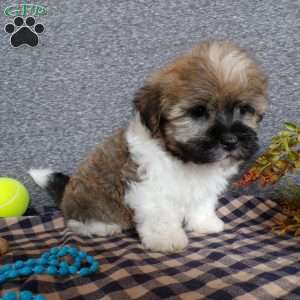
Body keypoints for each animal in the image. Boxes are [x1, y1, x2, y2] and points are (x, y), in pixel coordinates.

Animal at [30, 39, 268, 251]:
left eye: (244, 109)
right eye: (198, 112)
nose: (230, 141)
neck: (184, 158)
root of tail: (65, 196)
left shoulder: (203, 187)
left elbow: (201, 203)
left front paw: (205, 223)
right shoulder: (149, 188)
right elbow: (160, 215)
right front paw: (167, 239)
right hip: (88, 202)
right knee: (77, 222)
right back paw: (103, 227)